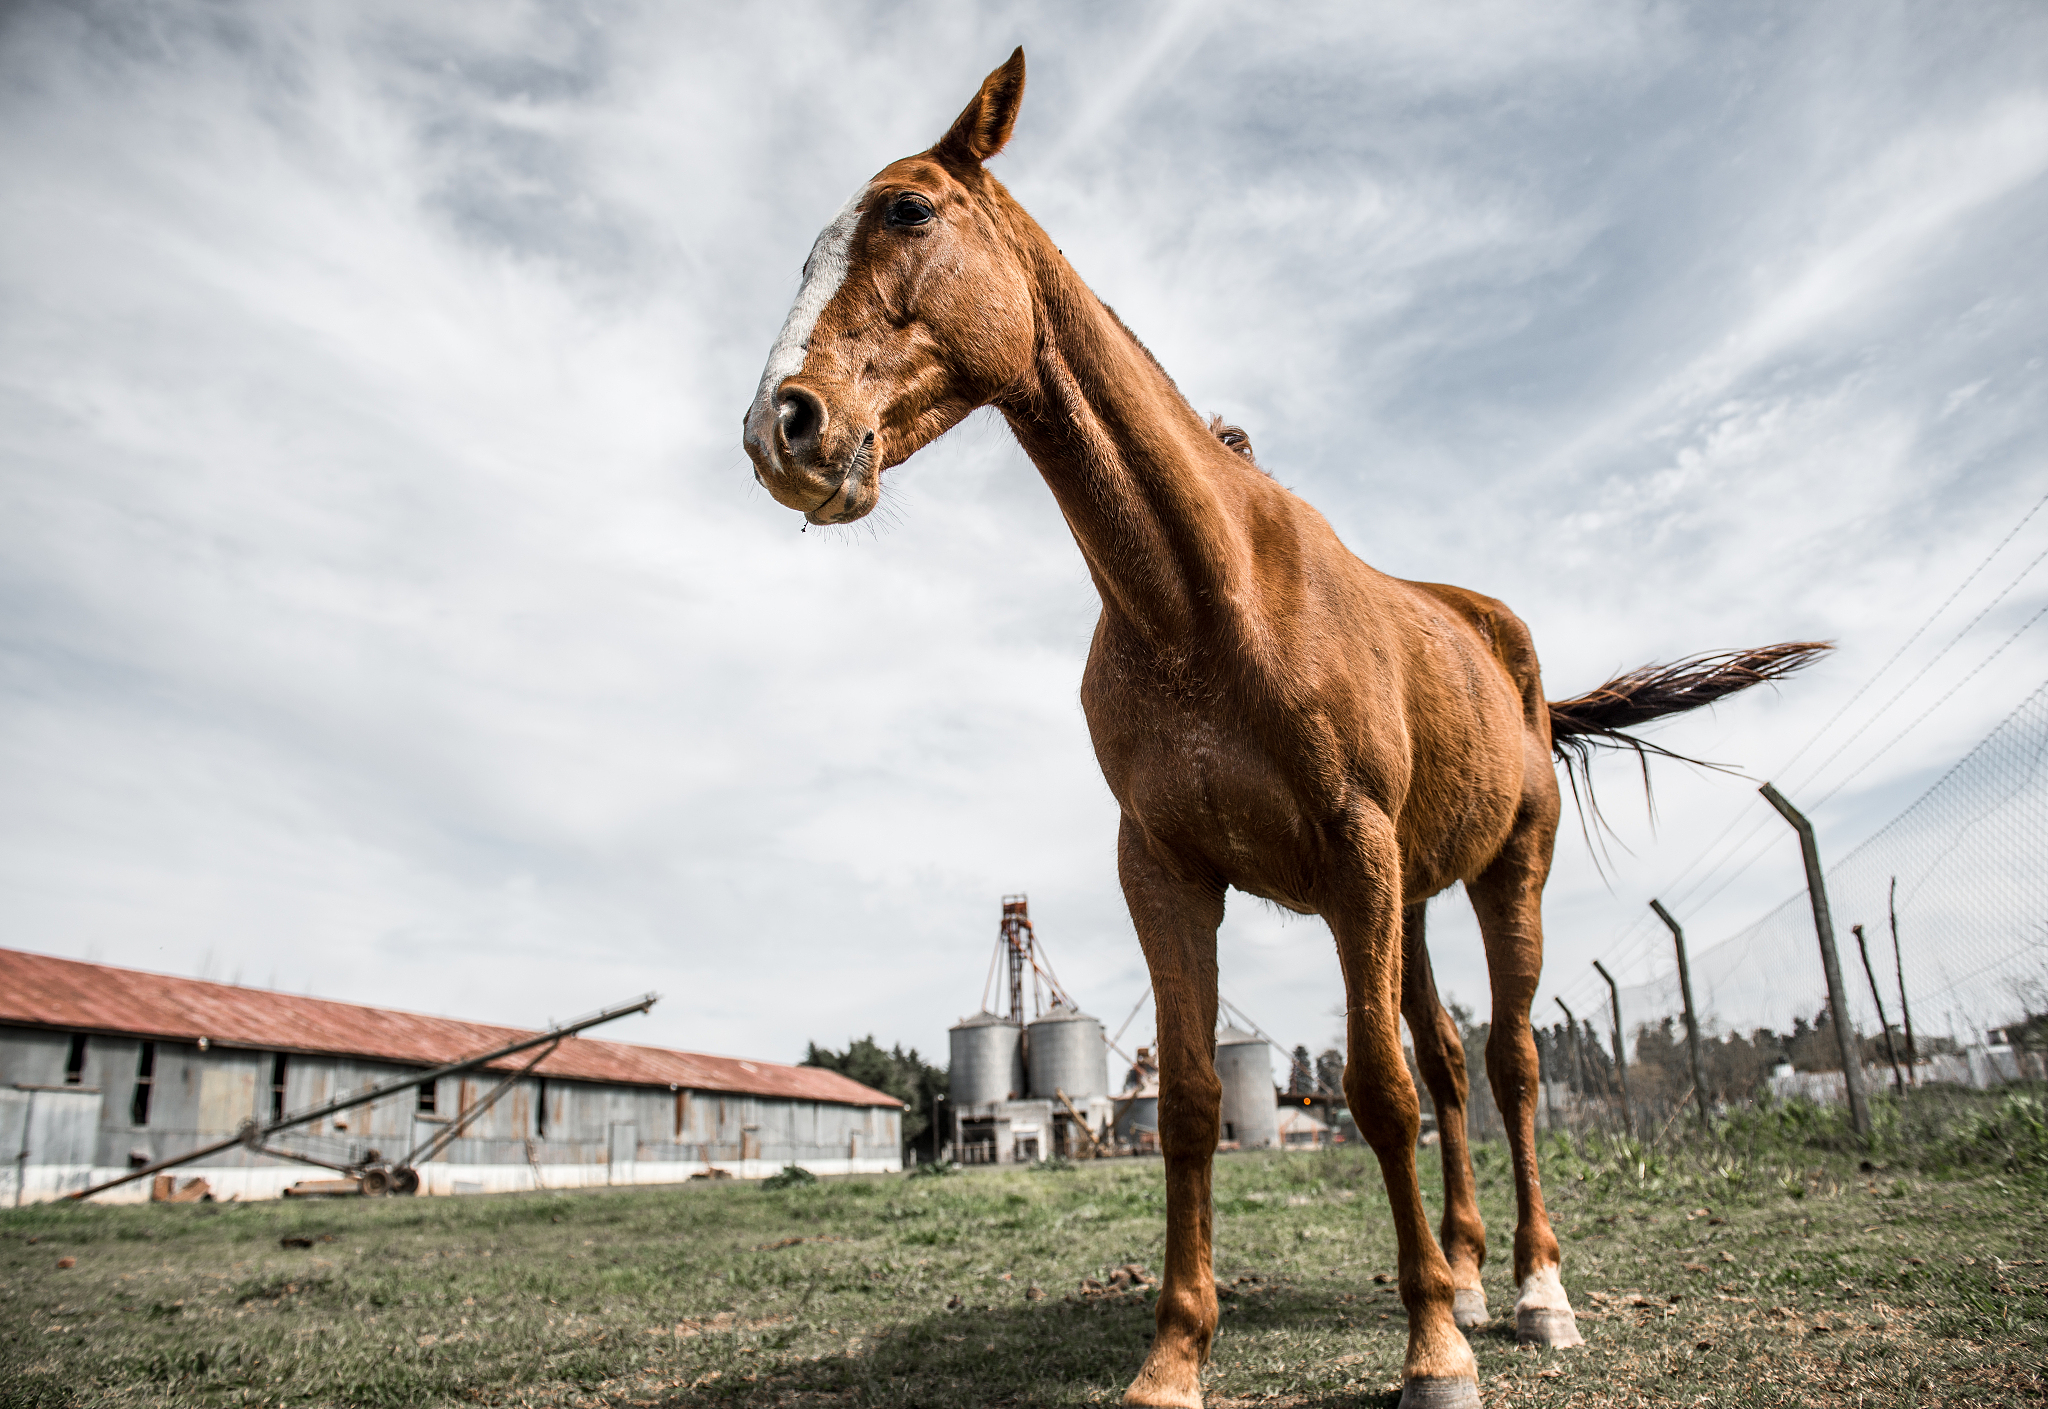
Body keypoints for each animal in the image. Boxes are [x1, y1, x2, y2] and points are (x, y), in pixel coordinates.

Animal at [741, 49, 1823, 1409]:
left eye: (907, 212)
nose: (780, 426)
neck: (1208, 598)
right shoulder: (1165, 868)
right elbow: (1195, 1098)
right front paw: (1173, 1357)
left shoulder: (1352, 847)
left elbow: (1371, 1087)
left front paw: (1432, 1351)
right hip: (1411, 897)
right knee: (1451, 1060)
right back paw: (1469, 1272)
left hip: (1500, 876)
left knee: (1508, 1065)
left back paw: (1531, 1291)